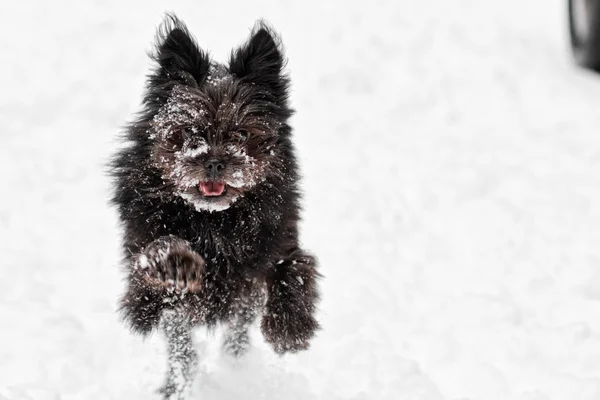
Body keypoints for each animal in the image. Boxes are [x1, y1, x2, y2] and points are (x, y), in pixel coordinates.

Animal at [110, 14, 322, 398]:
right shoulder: (143, 291)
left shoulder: (274, 248)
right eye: (188, 131)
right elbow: (154, 254)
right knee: (183, 353)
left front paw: (289, 328)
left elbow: (295, 266)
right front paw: (178, 263)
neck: (215, 220)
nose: (213, 161)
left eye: (242, 134)